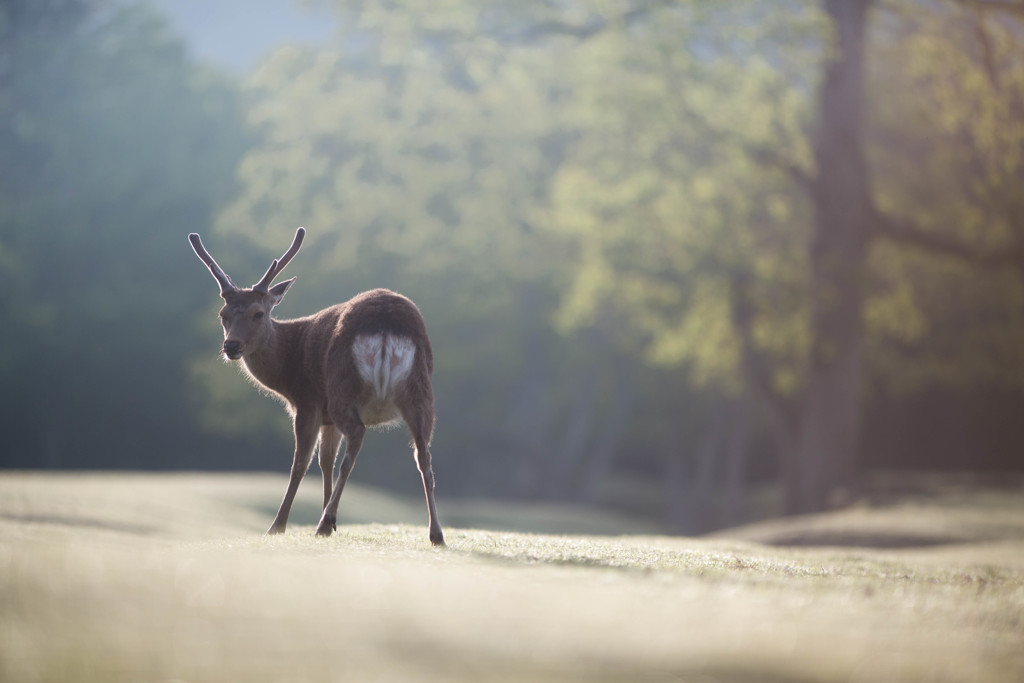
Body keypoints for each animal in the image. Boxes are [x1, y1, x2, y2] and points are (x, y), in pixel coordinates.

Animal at [188, 227, 444, 548]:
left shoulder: (308, 402)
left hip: (342, 387)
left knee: (357, 436)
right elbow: (325, 461)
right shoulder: (327, 418)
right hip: (421, 393)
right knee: (424, 456)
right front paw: (333, 522)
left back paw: (320, 523)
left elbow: (301, 462)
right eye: (223, 315)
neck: (287, 365)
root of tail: (387, 326)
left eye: (259, 313)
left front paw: (279, 526)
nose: (231, 346)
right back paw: (435, 534)